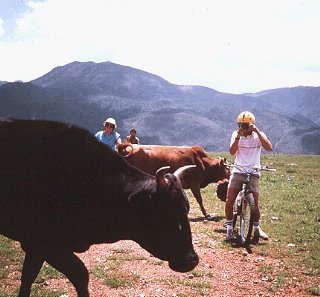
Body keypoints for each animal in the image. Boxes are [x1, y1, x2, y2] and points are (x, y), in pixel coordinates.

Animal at [0, 118, 199, 296]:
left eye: (185, 209)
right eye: (165, 213)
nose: (192, 260)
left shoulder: (38, 247)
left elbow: (30, 277)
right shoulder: (41, 243)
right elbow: (79, 274)